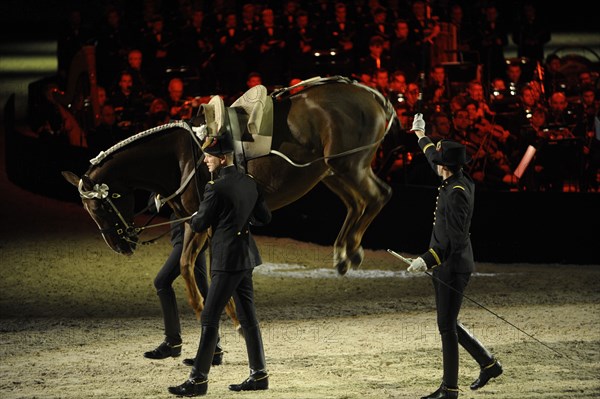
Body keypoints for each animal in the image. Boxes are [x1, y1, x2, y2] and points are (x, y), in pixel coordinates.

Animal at [63, 76, 396, 324]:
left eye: (101, 205)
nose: (120, 245)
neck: (182, 155)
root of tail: (372, 96)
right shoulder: (196, 221)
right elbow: (194, 267)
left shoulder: (203, 220)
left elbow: (192, 266)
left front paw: (214, 312)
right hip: (331, 171)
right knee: (359, 203)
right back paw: (346, 254)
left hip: (347, 165)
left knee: (378, 196)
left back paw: (348, 253)